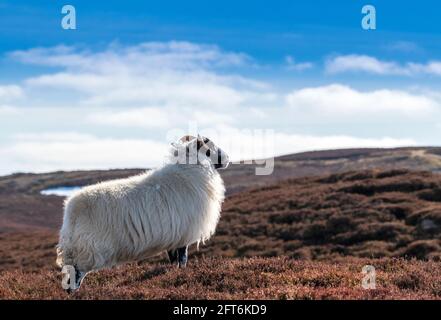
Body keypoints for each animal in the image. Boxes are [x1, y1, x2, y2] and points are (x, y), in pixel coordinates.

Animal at [56, 134, 229, 292]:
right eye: (208, 150)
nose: (227, 158)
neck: (192, 171)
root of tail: (71, 209)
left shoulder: (174, 235)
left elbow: (174, 260)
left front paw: (172, 274)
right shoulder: (183, 235)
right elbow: (183, 258)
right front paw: (182, 274)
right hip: (87, 248)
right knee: (76, 274)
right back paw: (74, 292)